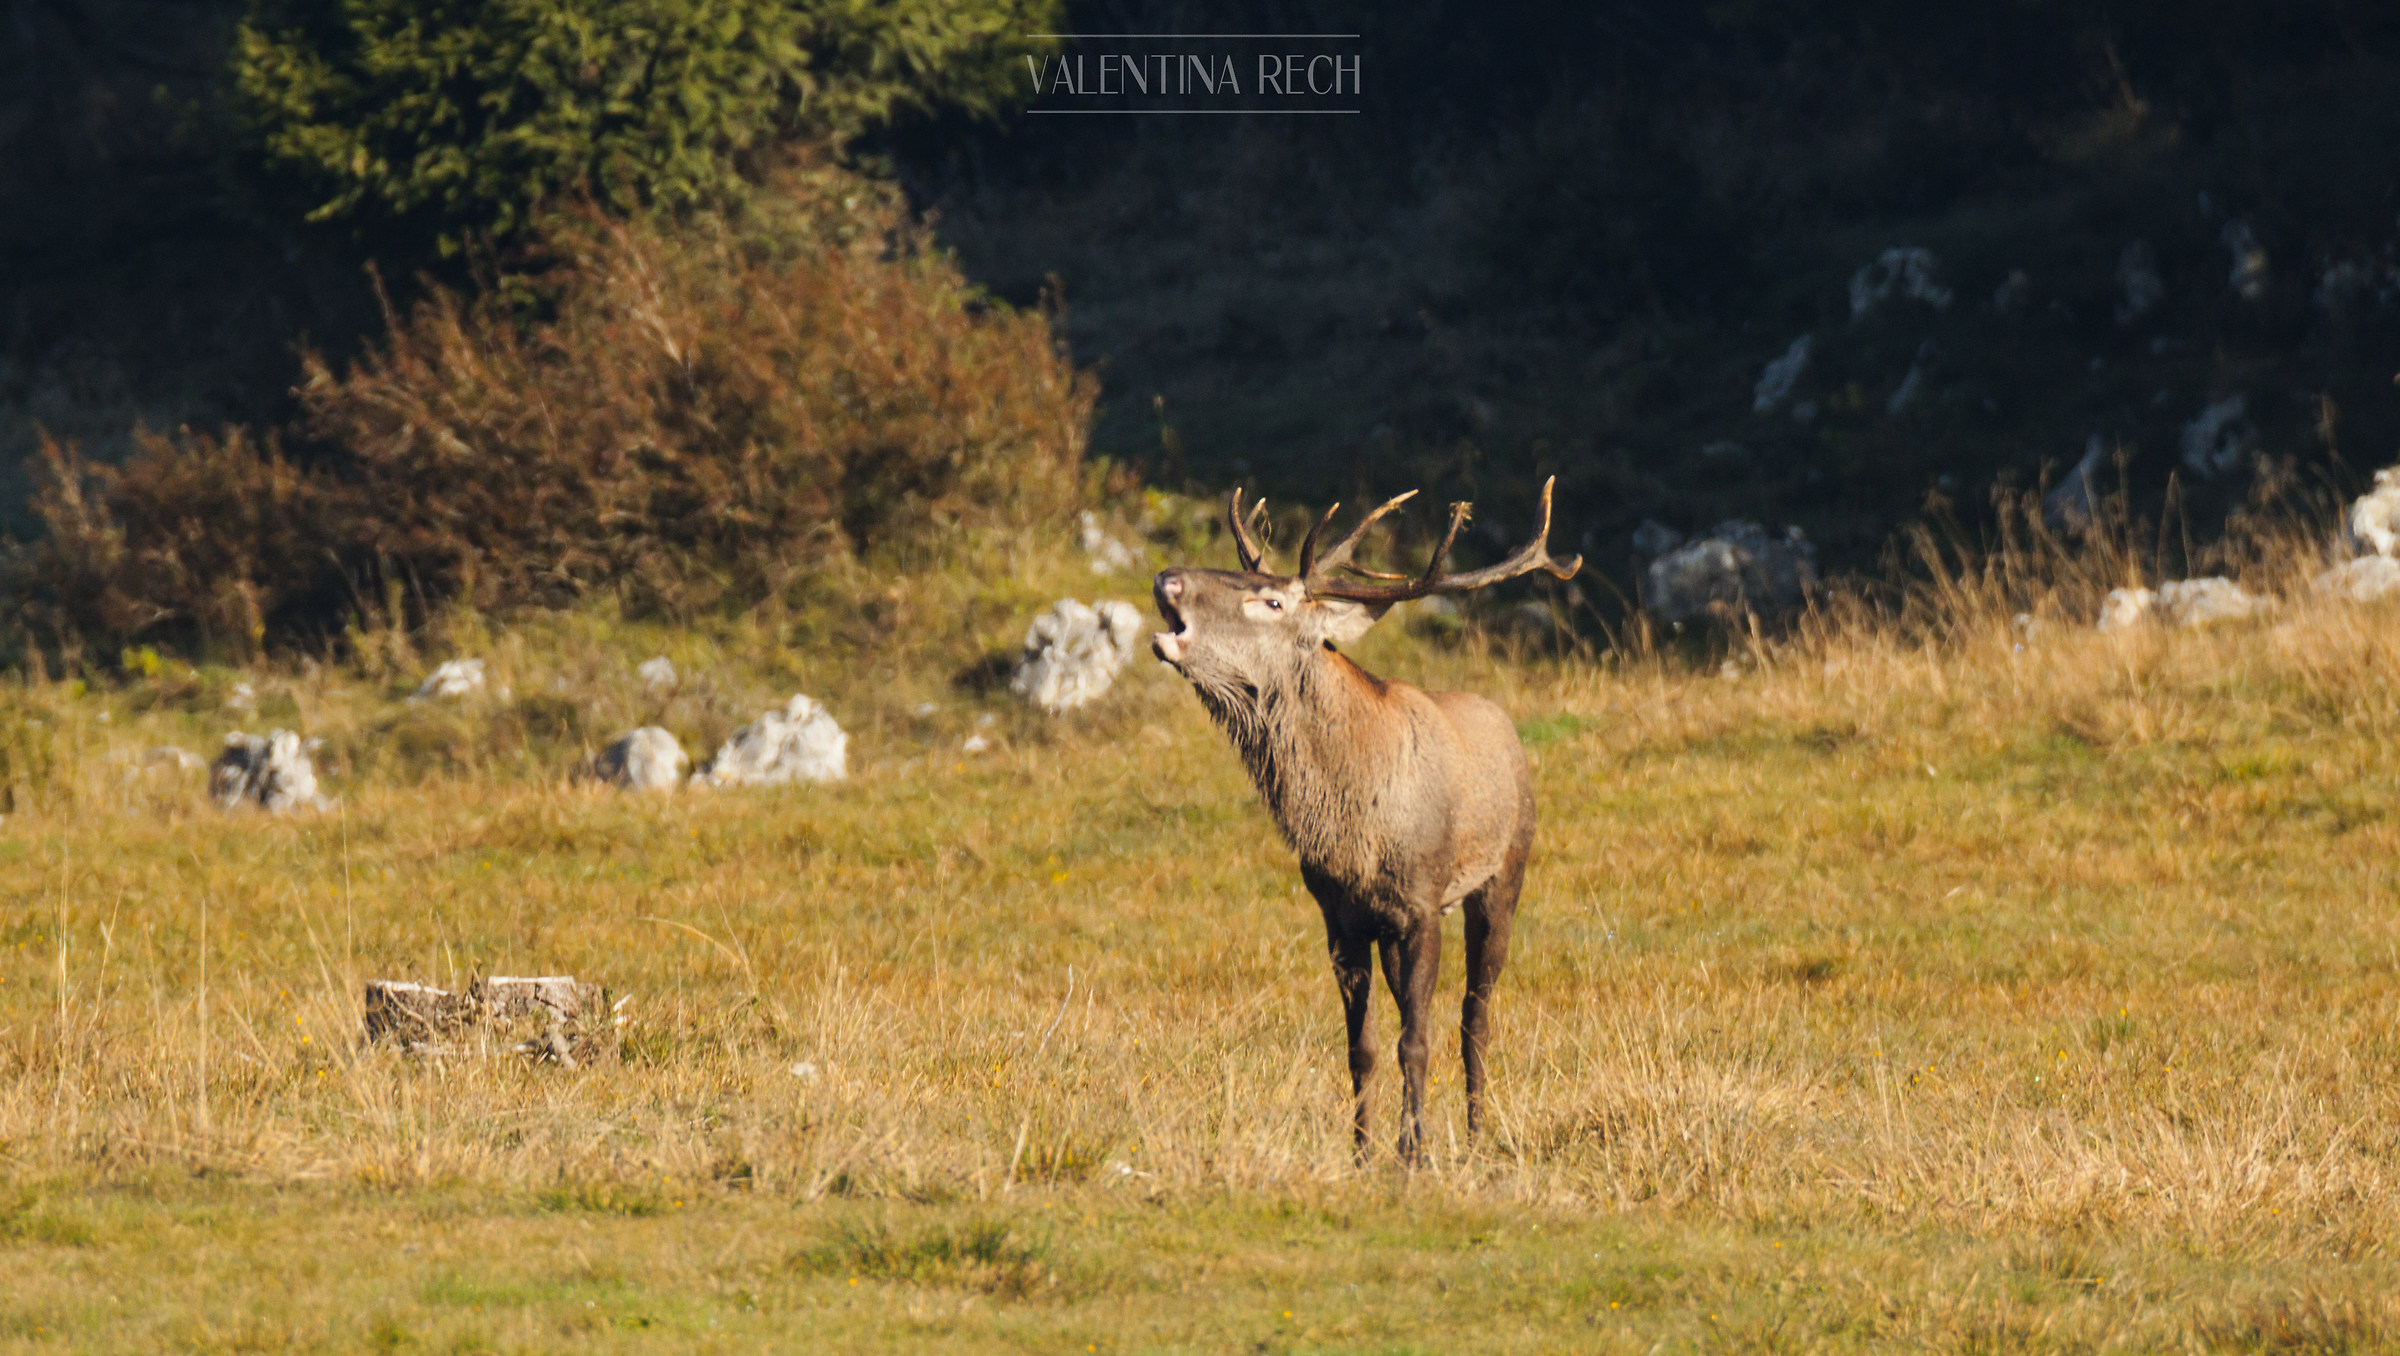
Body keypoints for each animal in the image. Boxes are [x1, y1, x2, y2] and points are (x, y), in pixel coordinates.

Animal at [1149, 477, 1580, 1164]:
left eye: (1272, 600)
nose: (1167, 578)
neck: (1354, 833)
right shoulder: (1341, 919)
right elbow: (1363, 1048)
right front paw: (1361, 1152)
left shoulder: (1423, 905)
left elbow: (1416, 1041)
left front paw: (1413, 1154)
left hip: (1504, 876)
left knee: (1475, 1016)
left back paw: (1477, 1133)